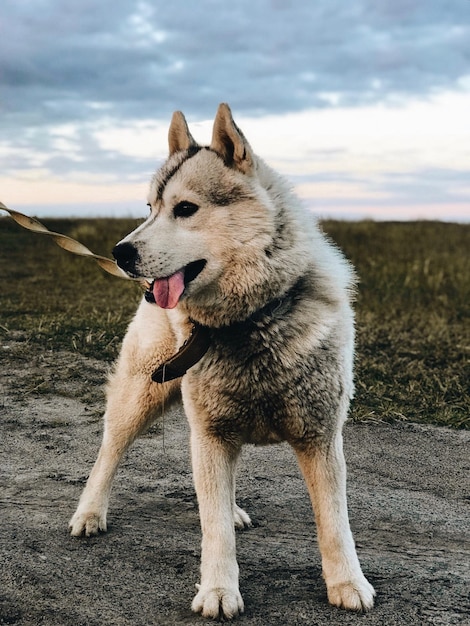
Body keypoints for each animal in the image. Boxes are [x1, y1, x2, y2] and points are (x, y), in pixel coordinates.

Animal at [69, 101, 374, 616]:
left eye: (185, 209)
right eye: (149, 209)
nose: (120, 252)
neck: (253, 320)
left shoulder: (319, 437)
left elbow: (335, 522)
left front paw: (347, 583)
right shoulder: (212, 433)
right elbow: (213, 530)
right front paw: (217, 589)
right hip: (140, 398)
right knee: (109, 453)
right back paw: (90, 511)